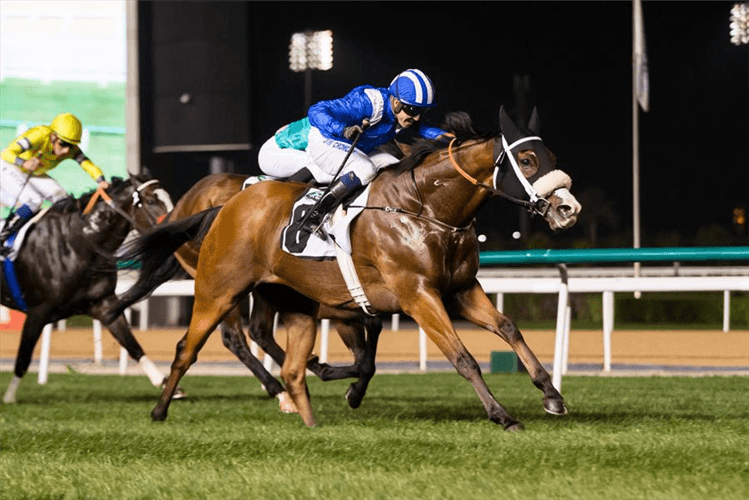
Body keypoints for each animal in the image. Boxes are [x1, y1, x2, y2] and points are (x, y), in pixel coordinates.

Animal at [2, 171, 174, 402]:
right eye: (151, 201)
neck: (79, 243)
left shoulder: (103, 304)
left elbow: (131, 343)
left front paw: (165, 383)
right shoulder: (38, 310)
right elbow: (23, 356)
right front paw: (9, 398)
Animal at [109, 172, 380, 410]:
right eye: (149, 202)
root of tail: (184, 205)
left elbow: (364, 342)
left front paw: (352, 386)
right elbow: (366, 335)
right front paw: (350, 387)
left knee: (259, 333)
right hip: (224, 285)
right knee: (238, 337)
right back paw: (285, 389)